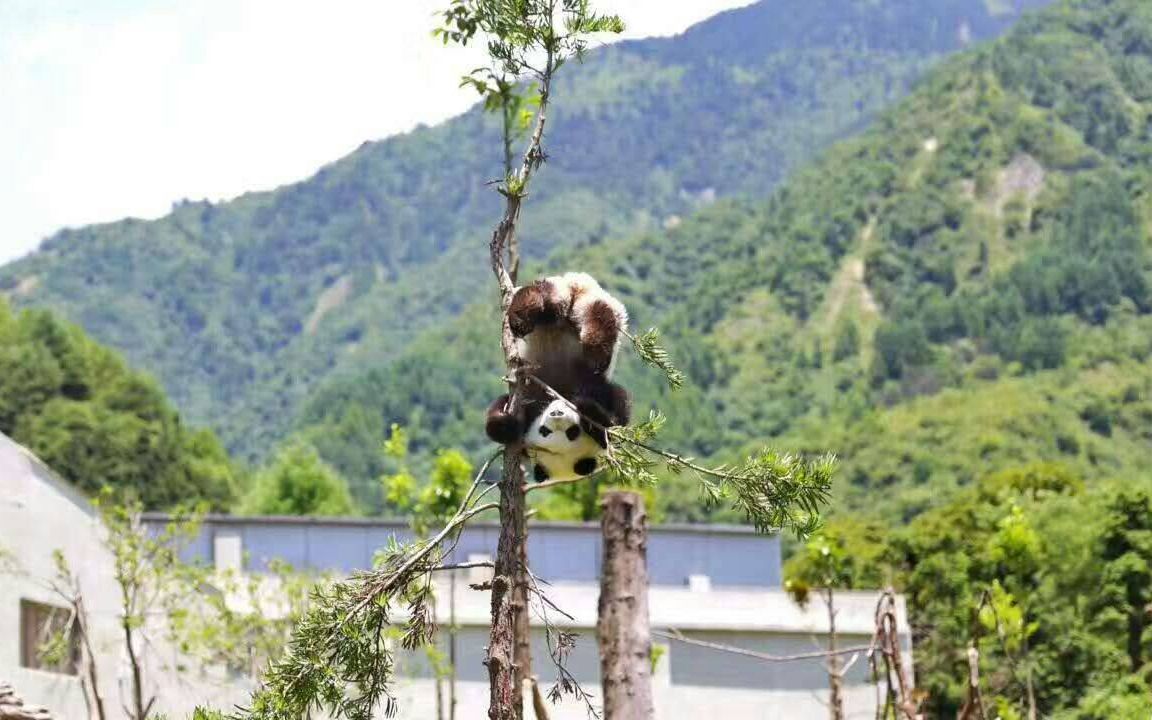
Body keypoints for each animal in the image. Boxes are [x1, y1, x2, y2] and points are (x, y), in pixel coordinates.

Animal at [483, 270, 635, 483]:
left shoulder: (599, 391)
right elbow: (500, 410)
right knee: (544, 298)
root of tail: (580, 284)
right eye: (544, 432)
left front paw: (586, 408)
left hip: (595, 309)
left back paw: (594, 347)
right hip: (559, 296)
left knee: (598, 314)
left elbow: (615, 420)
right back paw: (522, 317)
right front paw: (506, 425)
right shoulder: (530, 400)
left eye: (572, 432)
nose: (556, 413)